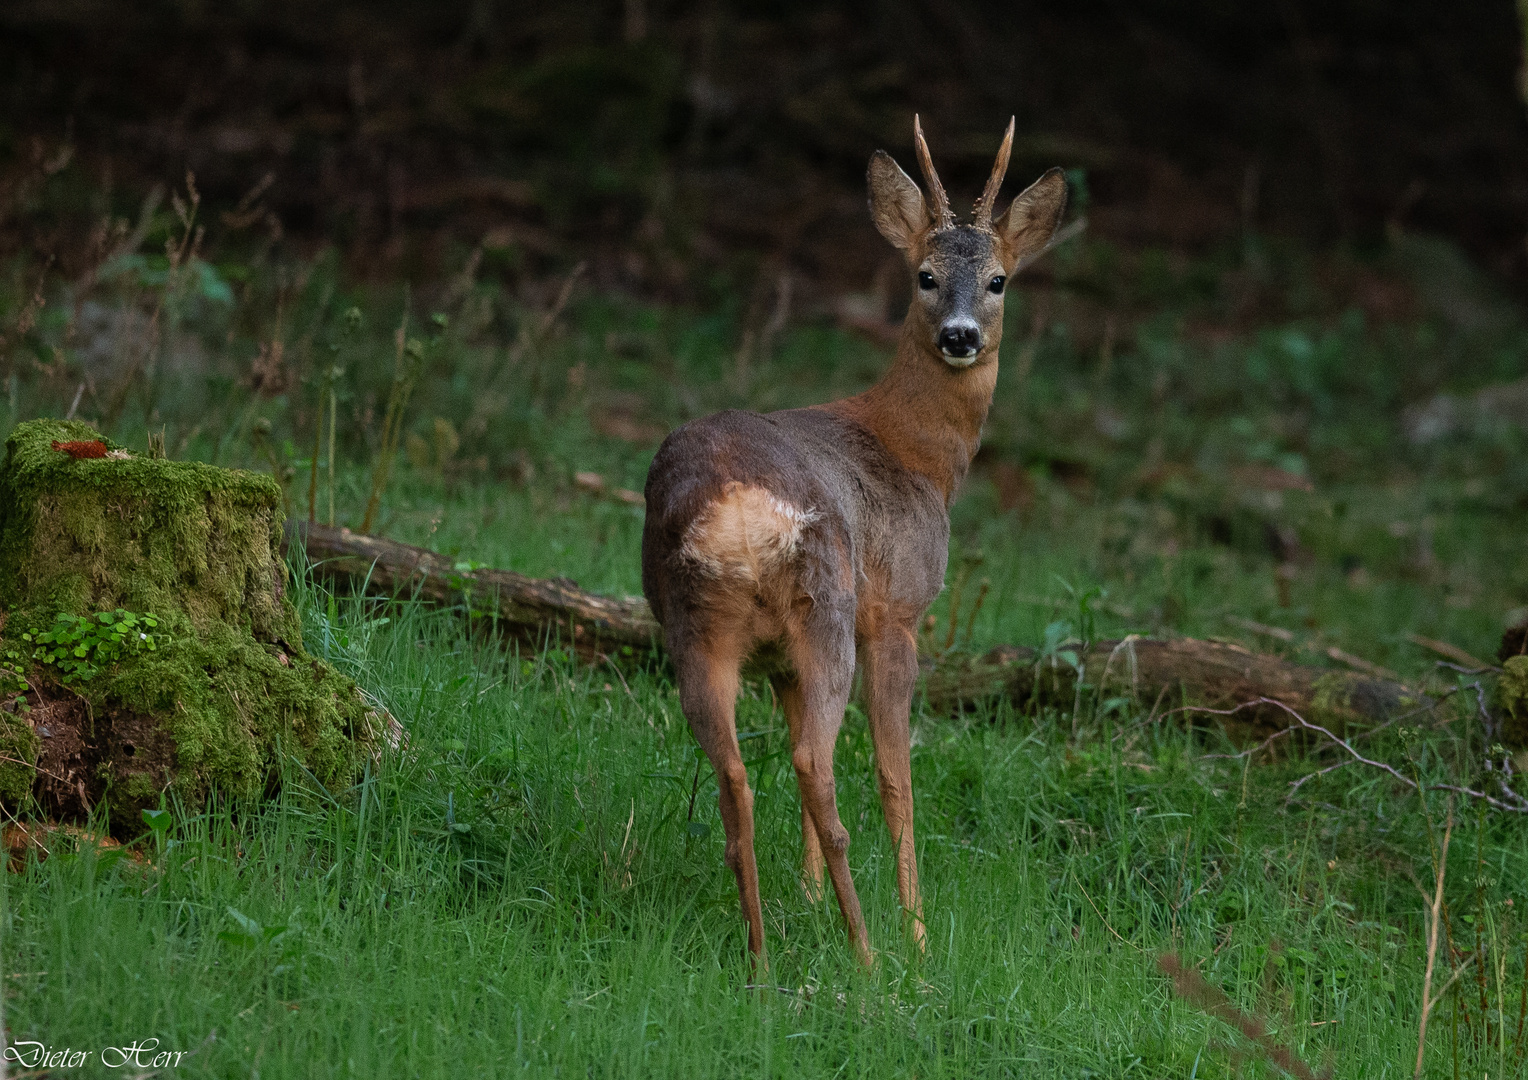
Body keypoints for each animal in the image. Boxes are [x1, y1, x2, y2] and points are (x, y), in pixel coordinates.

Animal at [635, 113, 1063, 965]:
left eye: (998, 280)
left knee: (739, 775)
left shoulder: (777, 662)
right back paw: (869, 956)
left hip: (694, 626)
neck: (917, 454)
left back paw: (763, 957)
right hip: (826, 610)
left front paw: (805, 898)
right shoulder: (897, 610)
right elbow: (898, 777)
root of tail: (737, 506)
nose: (961, 336)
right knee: (816, 765)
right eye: (925, 275)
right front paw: (918, 929)